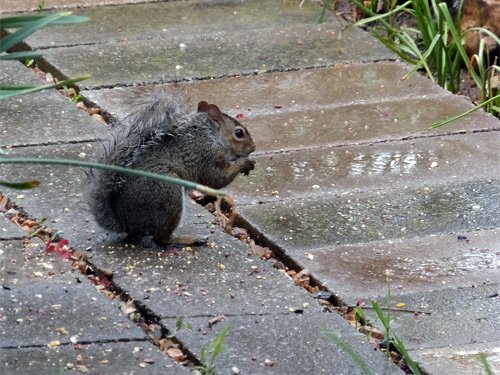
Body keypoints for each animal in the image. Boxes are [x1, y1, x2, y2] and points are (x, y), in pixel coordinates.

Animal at [88, 87, 256, 247]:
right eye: (239, 133)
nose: (253, 148)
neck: (212, 136)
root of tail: (126, 223)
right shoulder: (207, 155)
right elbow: (216, 179)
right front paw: (245, 163)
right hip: (167, 191)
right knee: (161, 238)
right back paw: (187, 240)